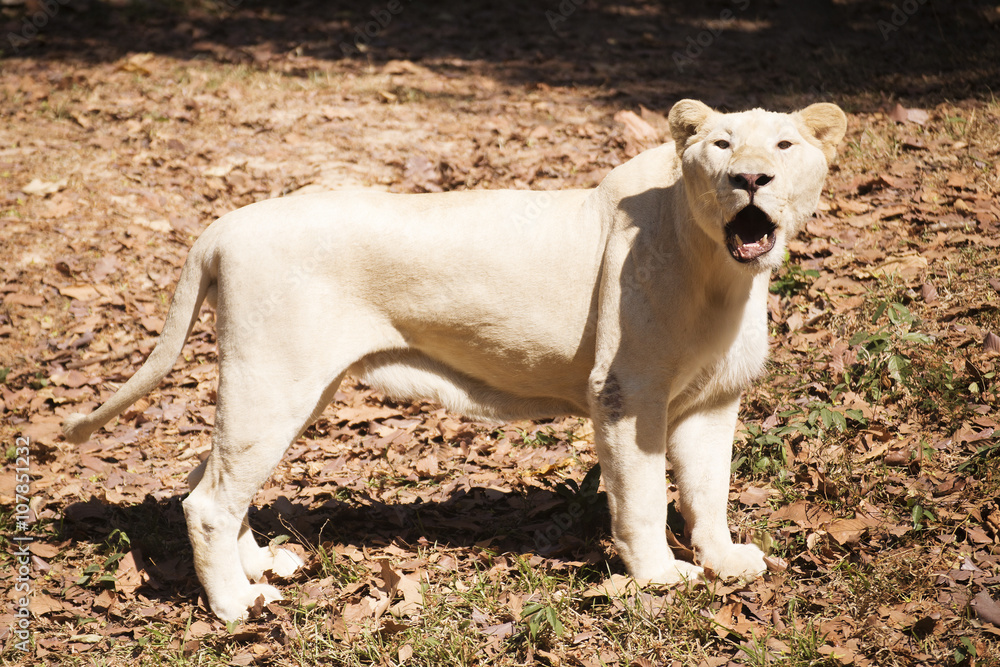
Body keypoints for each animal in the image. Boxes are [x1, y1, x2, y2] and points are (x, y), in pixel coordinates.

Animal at [63, 99, 847, 621]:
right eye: (721, 145)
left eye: (783, 145)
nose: (751, 179)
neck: (720, 273)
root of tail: (224, 225)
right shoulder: (627, 394)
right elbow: (645, 497)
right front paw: (658, 577)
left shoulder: (712, 402)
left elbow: (709, 492)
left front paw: (724, 561)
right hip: (275, 380)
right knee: (206, 499)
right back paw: (236, 604)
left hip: (292, 388)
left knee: (210, 477)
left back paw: (261, 563)